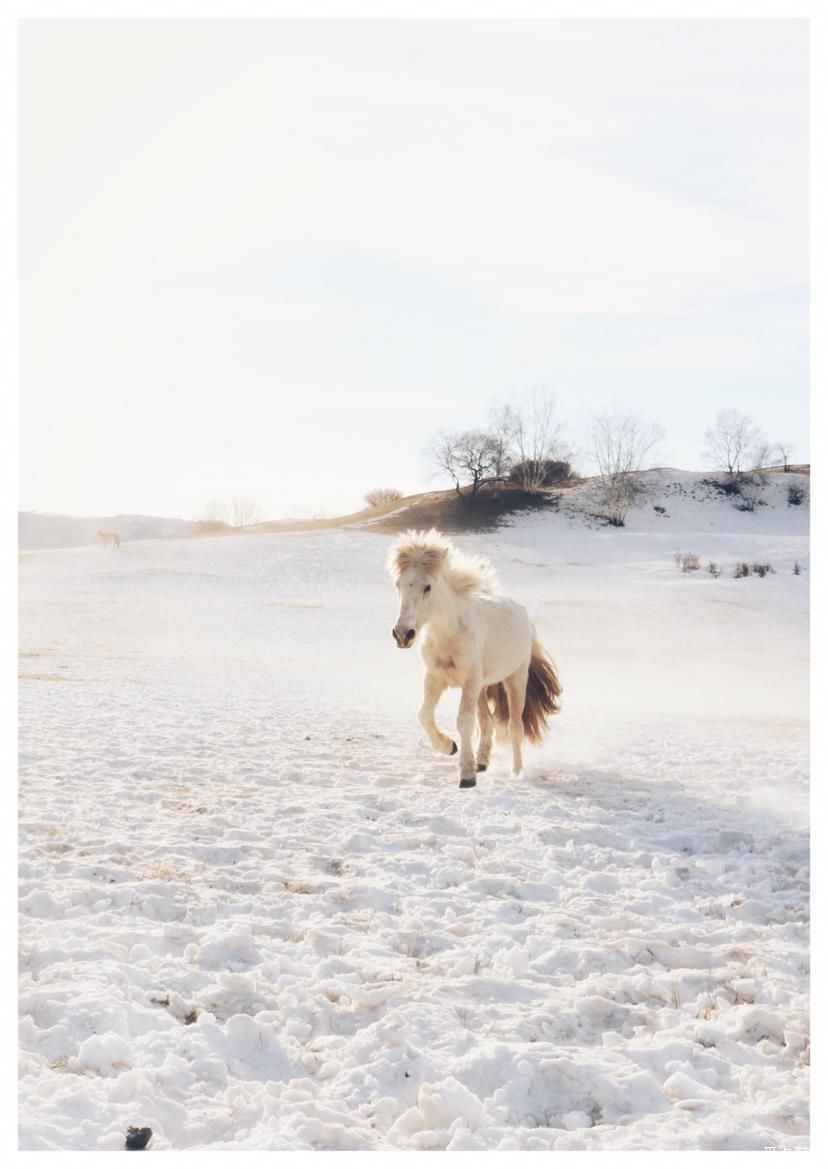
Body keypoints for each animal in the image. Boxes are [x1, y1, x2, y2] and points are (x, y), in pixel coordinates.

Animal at [388, 528, 563, 785]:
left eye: (427, 586)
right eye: (398, 585)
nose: (402, 634)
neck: (450, 634)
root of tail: (523, 614)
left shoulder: (470, 681)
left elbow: (464, 721)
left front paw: (466, 775)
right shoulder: (435, 679)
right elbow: (424, 715)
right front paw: (449, 747)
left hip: (515, 679)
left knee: (514, 726)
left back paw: (516, 771)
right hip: (482, 687)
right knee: (487, 722)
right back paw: (482, 761)